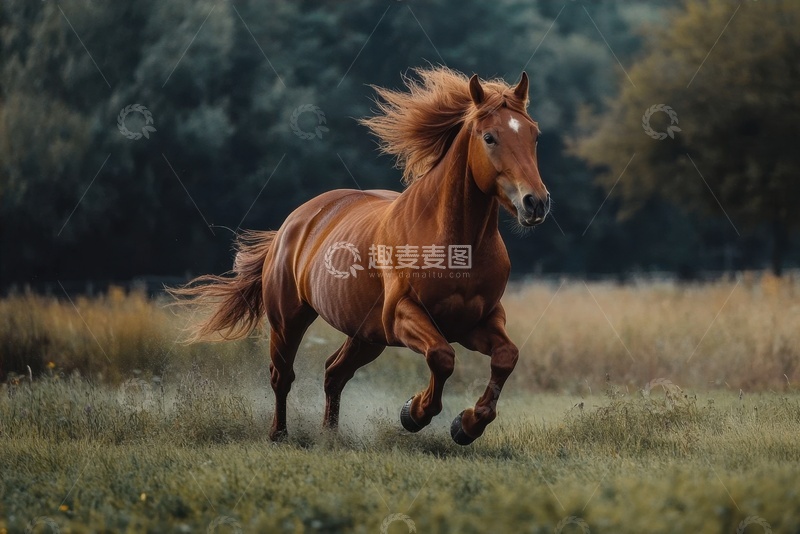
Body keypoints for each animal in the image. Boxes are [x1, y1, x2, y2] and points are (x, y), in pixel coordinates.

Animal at [170, 67, 550, 445]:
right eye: (489, 137)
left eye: (534, 135)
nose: (536, 202)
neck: (456, 245)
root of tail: (293, 224)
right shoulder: (403, 315)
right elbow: (442, 357)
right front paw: (414, 413)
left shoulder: (479, 320)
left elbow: (505, 357)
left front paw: (467, 425)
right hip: (289, 321)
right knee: (283, 375)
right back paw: (279, 434)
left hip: (365, 335)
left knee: (334, 373)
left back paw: (330, 435)